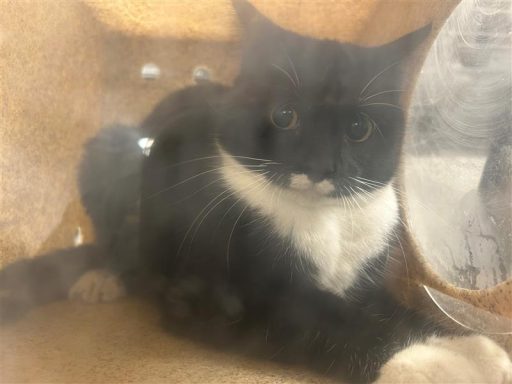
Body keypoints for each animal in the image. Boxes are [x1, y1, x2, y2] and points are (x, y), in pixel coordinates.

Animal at [2, 1, 510, 382]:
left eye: (359, 129)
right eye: (284, 116)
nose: (319, 166)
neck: (325, 221)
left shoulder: (366, 282)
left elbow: (391, 308)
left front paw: (462, 343)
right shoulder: (221, 299)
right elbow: (324, 319)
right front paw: (434, 361)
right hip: (113, 152)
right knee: (116, 240)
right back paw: (103, 277)